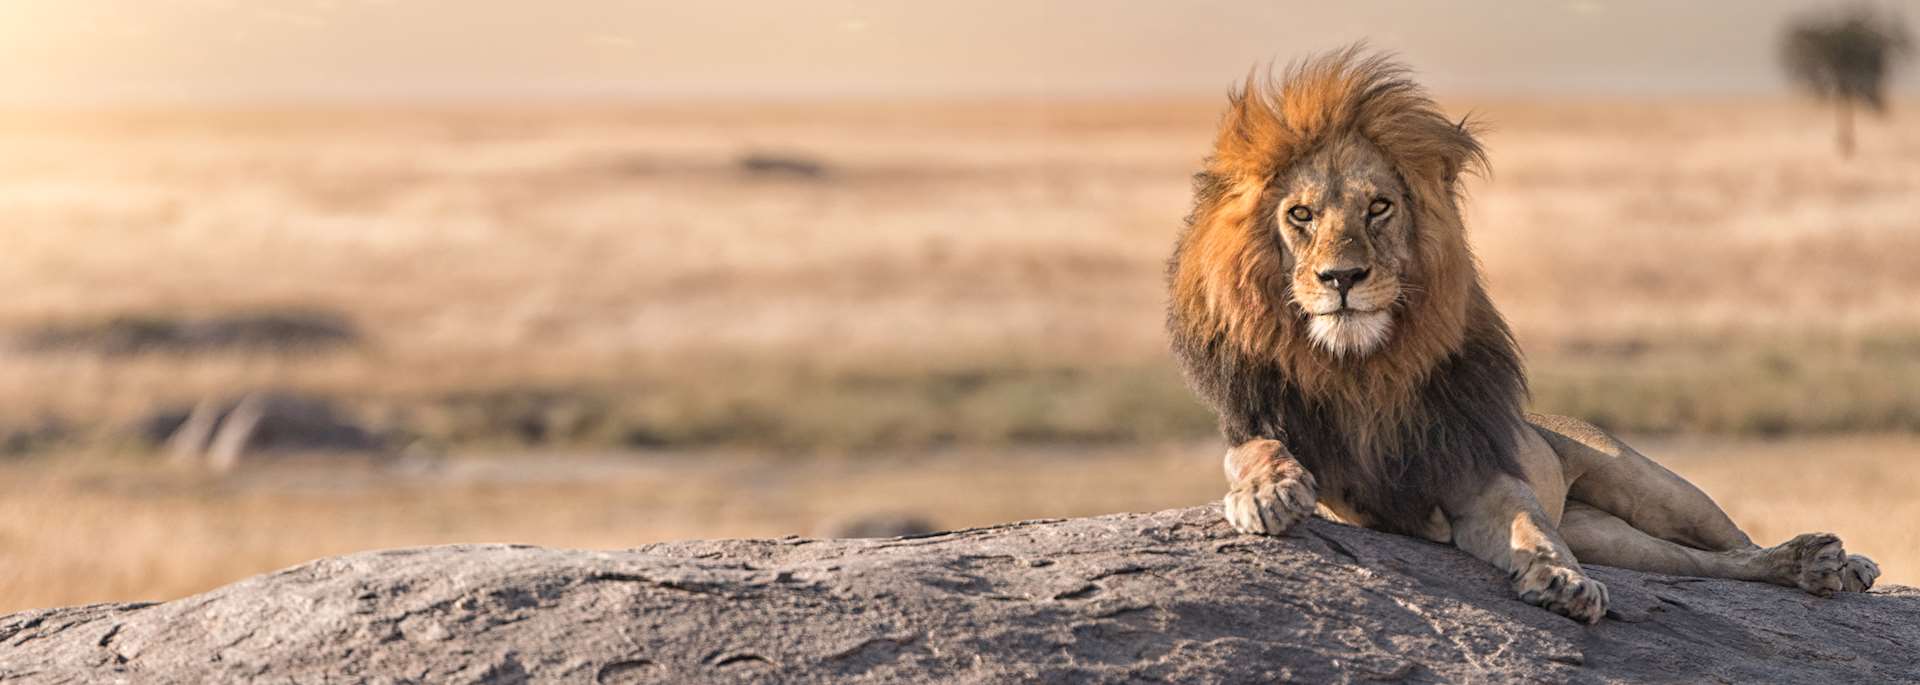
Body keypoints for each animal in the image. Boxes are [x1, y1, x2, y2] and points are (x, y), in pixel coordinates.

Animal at [1166, 48, 1880, 623]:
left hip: (1653, 488)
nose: (1342, 277)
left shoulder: (1477, 471)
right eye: (1301, 215)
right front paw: (1268, 492)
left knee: (1732, 546)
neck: (1362, 366)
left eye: (1379, 207)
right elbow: (1255, 451)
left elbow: (1529, 526)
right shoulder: (1297, 452)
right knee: (1695, 564)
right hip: (1612, 537)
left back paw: (1830, 563)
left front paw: (1563, 581)